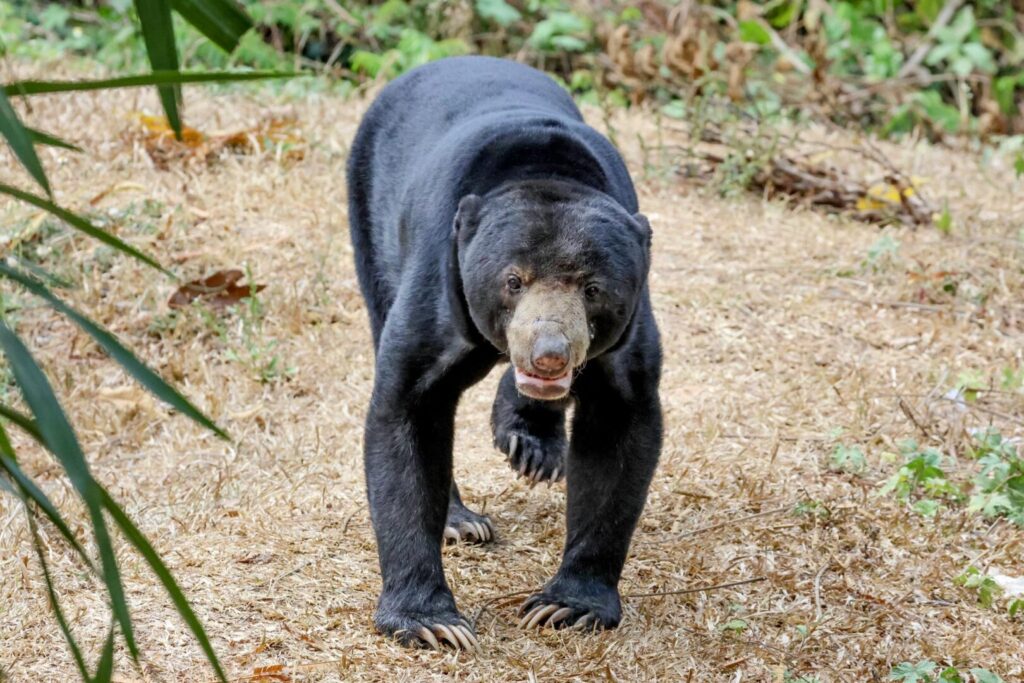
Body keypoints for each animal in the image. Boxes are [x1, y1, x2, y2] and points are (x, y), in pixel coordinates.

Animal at [346, 55, 662, 651]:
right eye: (513, 281)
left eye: (592, 289)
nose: (549, 354)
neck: (545, 169)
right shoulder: (438, 284)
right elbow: (406, 413)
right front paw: (433, 623)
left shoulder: (628, 337)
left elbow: (620, 429)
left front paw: (566, 607)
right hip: (368, 220)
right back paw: (463, 520)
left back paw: (531, 445)